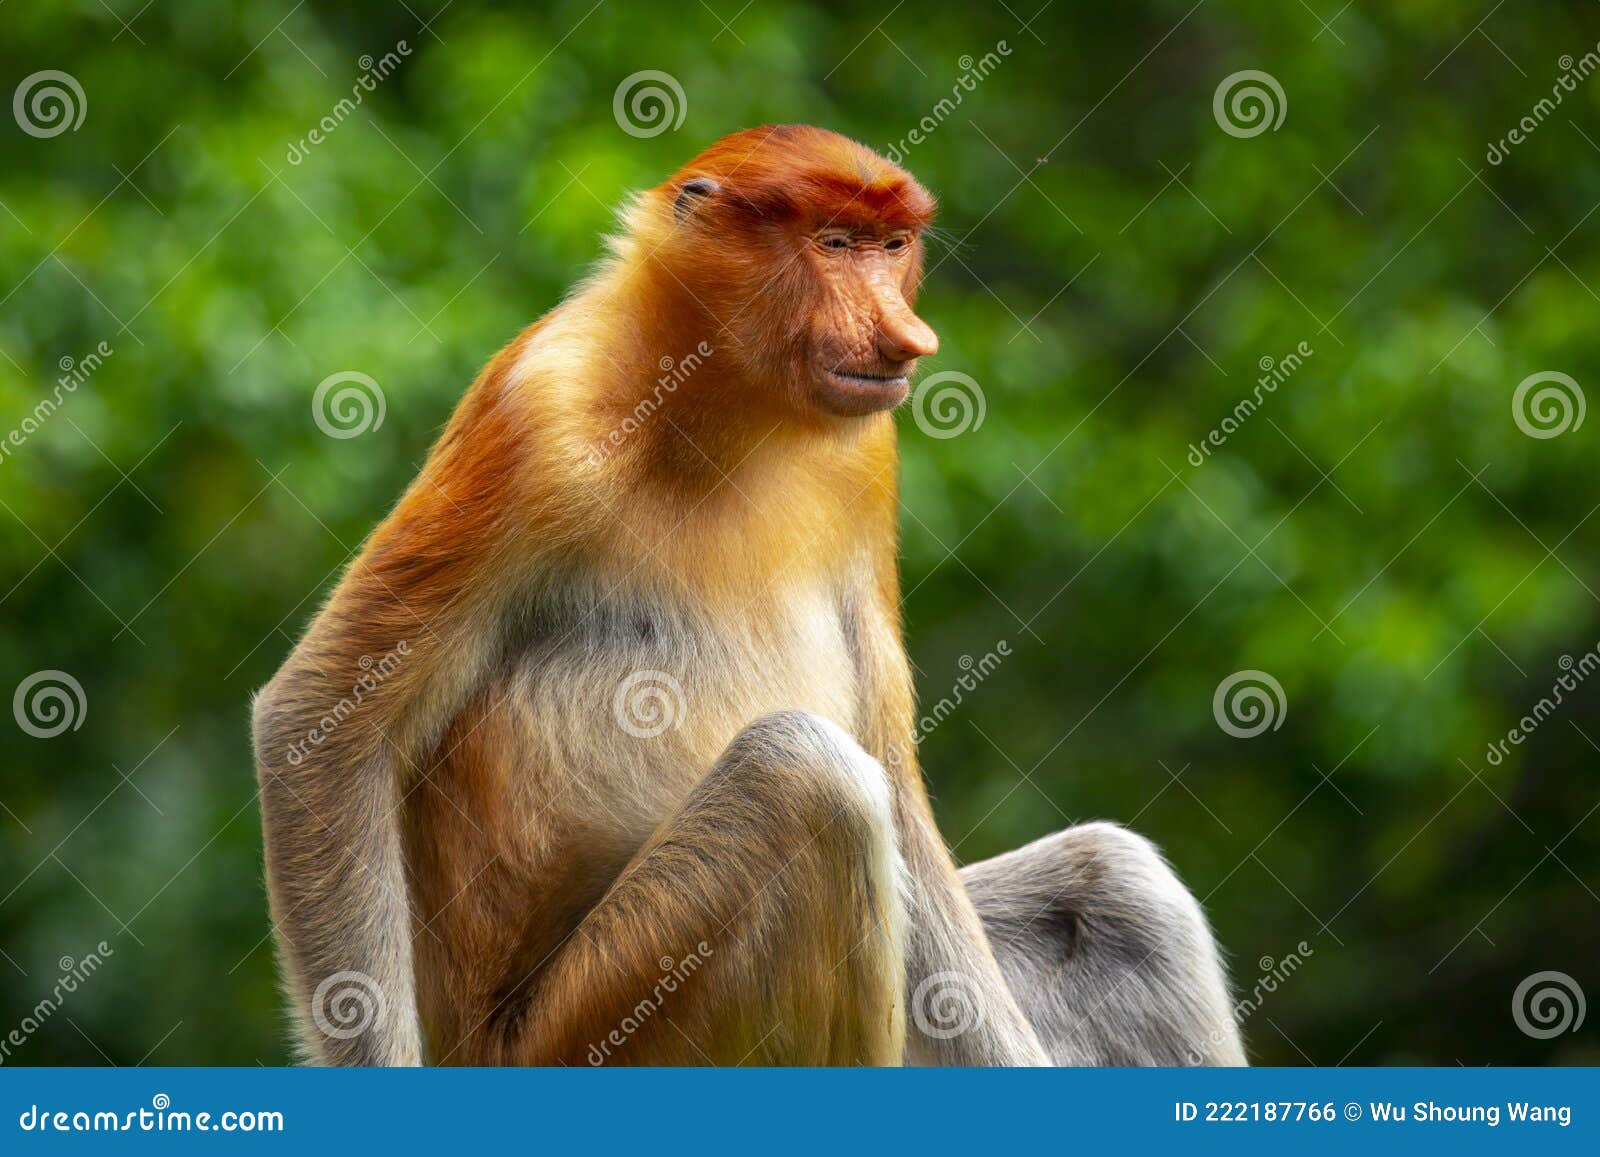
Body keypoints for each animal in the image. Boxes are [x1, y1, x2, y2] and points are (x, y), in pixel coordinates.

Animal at [252, 126, 1248, 1068]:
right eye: (834, 242)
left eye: (892, 246)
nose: (906, 336)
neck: (725, 405)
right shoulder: (540, 416)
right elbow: (324, 718)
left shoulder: (869, 460)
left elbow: (901, 791)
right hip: (586, 1028)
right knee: (806, 777)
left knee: (1112, 879)